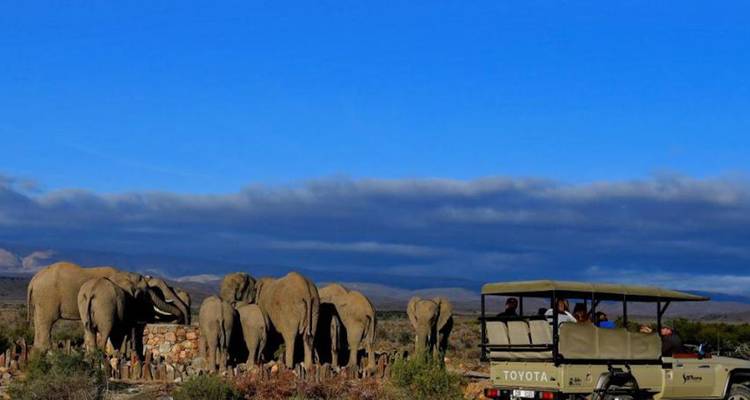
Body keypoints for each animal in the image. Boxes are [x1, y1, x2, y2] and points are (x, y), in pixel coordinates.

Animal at [27, 262, 189, 351]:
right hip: (46, 298)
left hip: (39, 301)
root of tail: (33, 280)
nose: (182, 322)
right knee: (46, 325)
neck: (123, 274)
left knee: (38, 325)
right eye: (147, 291)